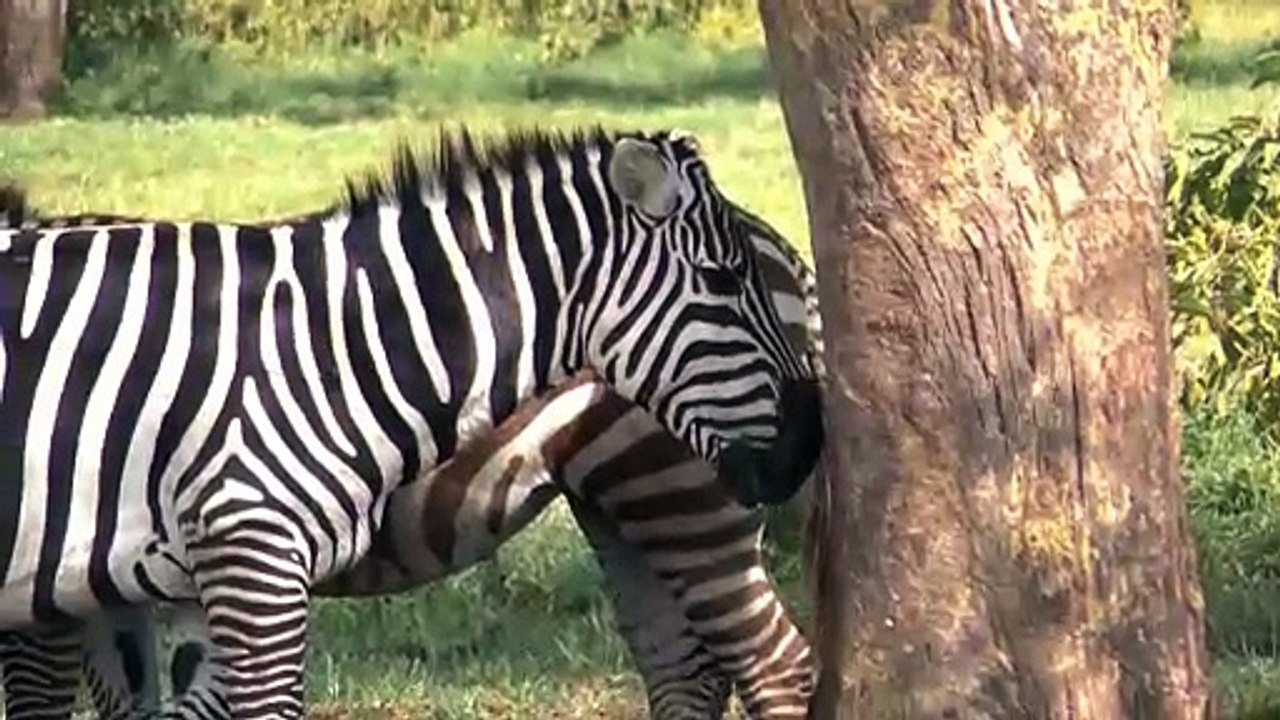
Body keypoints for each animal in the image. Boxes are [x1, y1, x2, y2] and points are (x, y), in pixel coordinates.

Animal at [0, 126, 824, 719]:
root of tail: (784, 248)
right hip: (626, 503)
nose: (807, 444)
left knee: (775, 666)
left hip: (676, 497)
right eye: (720, 280)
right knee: (683, 667)